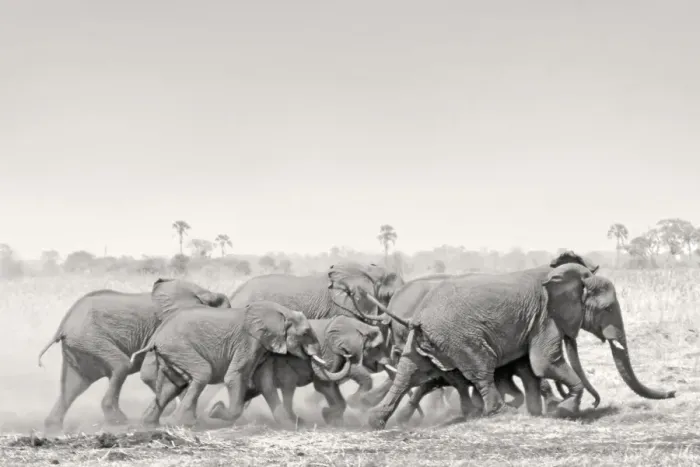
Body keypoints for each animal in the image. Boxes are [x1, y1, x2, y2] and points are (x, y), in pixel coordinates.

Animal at [37, 278, 231, 432]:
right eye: (215, 303)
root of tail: (62, 327)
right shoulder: (162, 328)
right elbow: (151, 372)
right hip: (90, 339)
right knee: (121, 365)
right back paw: (119, 421)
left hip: (79, 348)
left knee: (73, 385)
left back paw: (53, 428)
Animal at [133, 300, 332, 428]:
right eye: (305, 333)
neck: (281, 311)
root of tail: (156, 337)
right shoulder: (249, 342)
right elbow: (234, 376)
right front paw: (216, 410)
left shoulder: (263, 347)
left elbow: (266, 384)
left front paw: (290, 425)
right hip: (179, 347)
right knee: (201, 374)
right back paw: (179, 423)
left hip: (170, 353)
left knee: (171, 386)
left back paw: (149, 424)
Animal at [208, 315, 393, 427]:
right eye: (377, 347)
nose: (384, 362)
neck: (359, 326)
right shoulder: (329, 352)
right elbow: (324, 384)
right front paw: (329, 415)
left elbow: (331, 384)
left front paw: (334, 420)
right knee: (286, 387)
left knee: (256, 390)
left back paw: (214, 411)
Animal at [366, 261, 677, 430]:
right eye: (608, 308)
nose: (673, 392)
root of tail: (418, 316)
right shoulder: (546, 315)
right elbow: (543, 362)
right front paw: (564, 410)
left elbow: (532, 366)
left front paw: (548, 410)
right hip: (461, 337)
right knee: (481, 368)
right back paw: (501, 411)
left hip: (424, 340)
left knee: (408, 372)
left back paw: (375, 421)